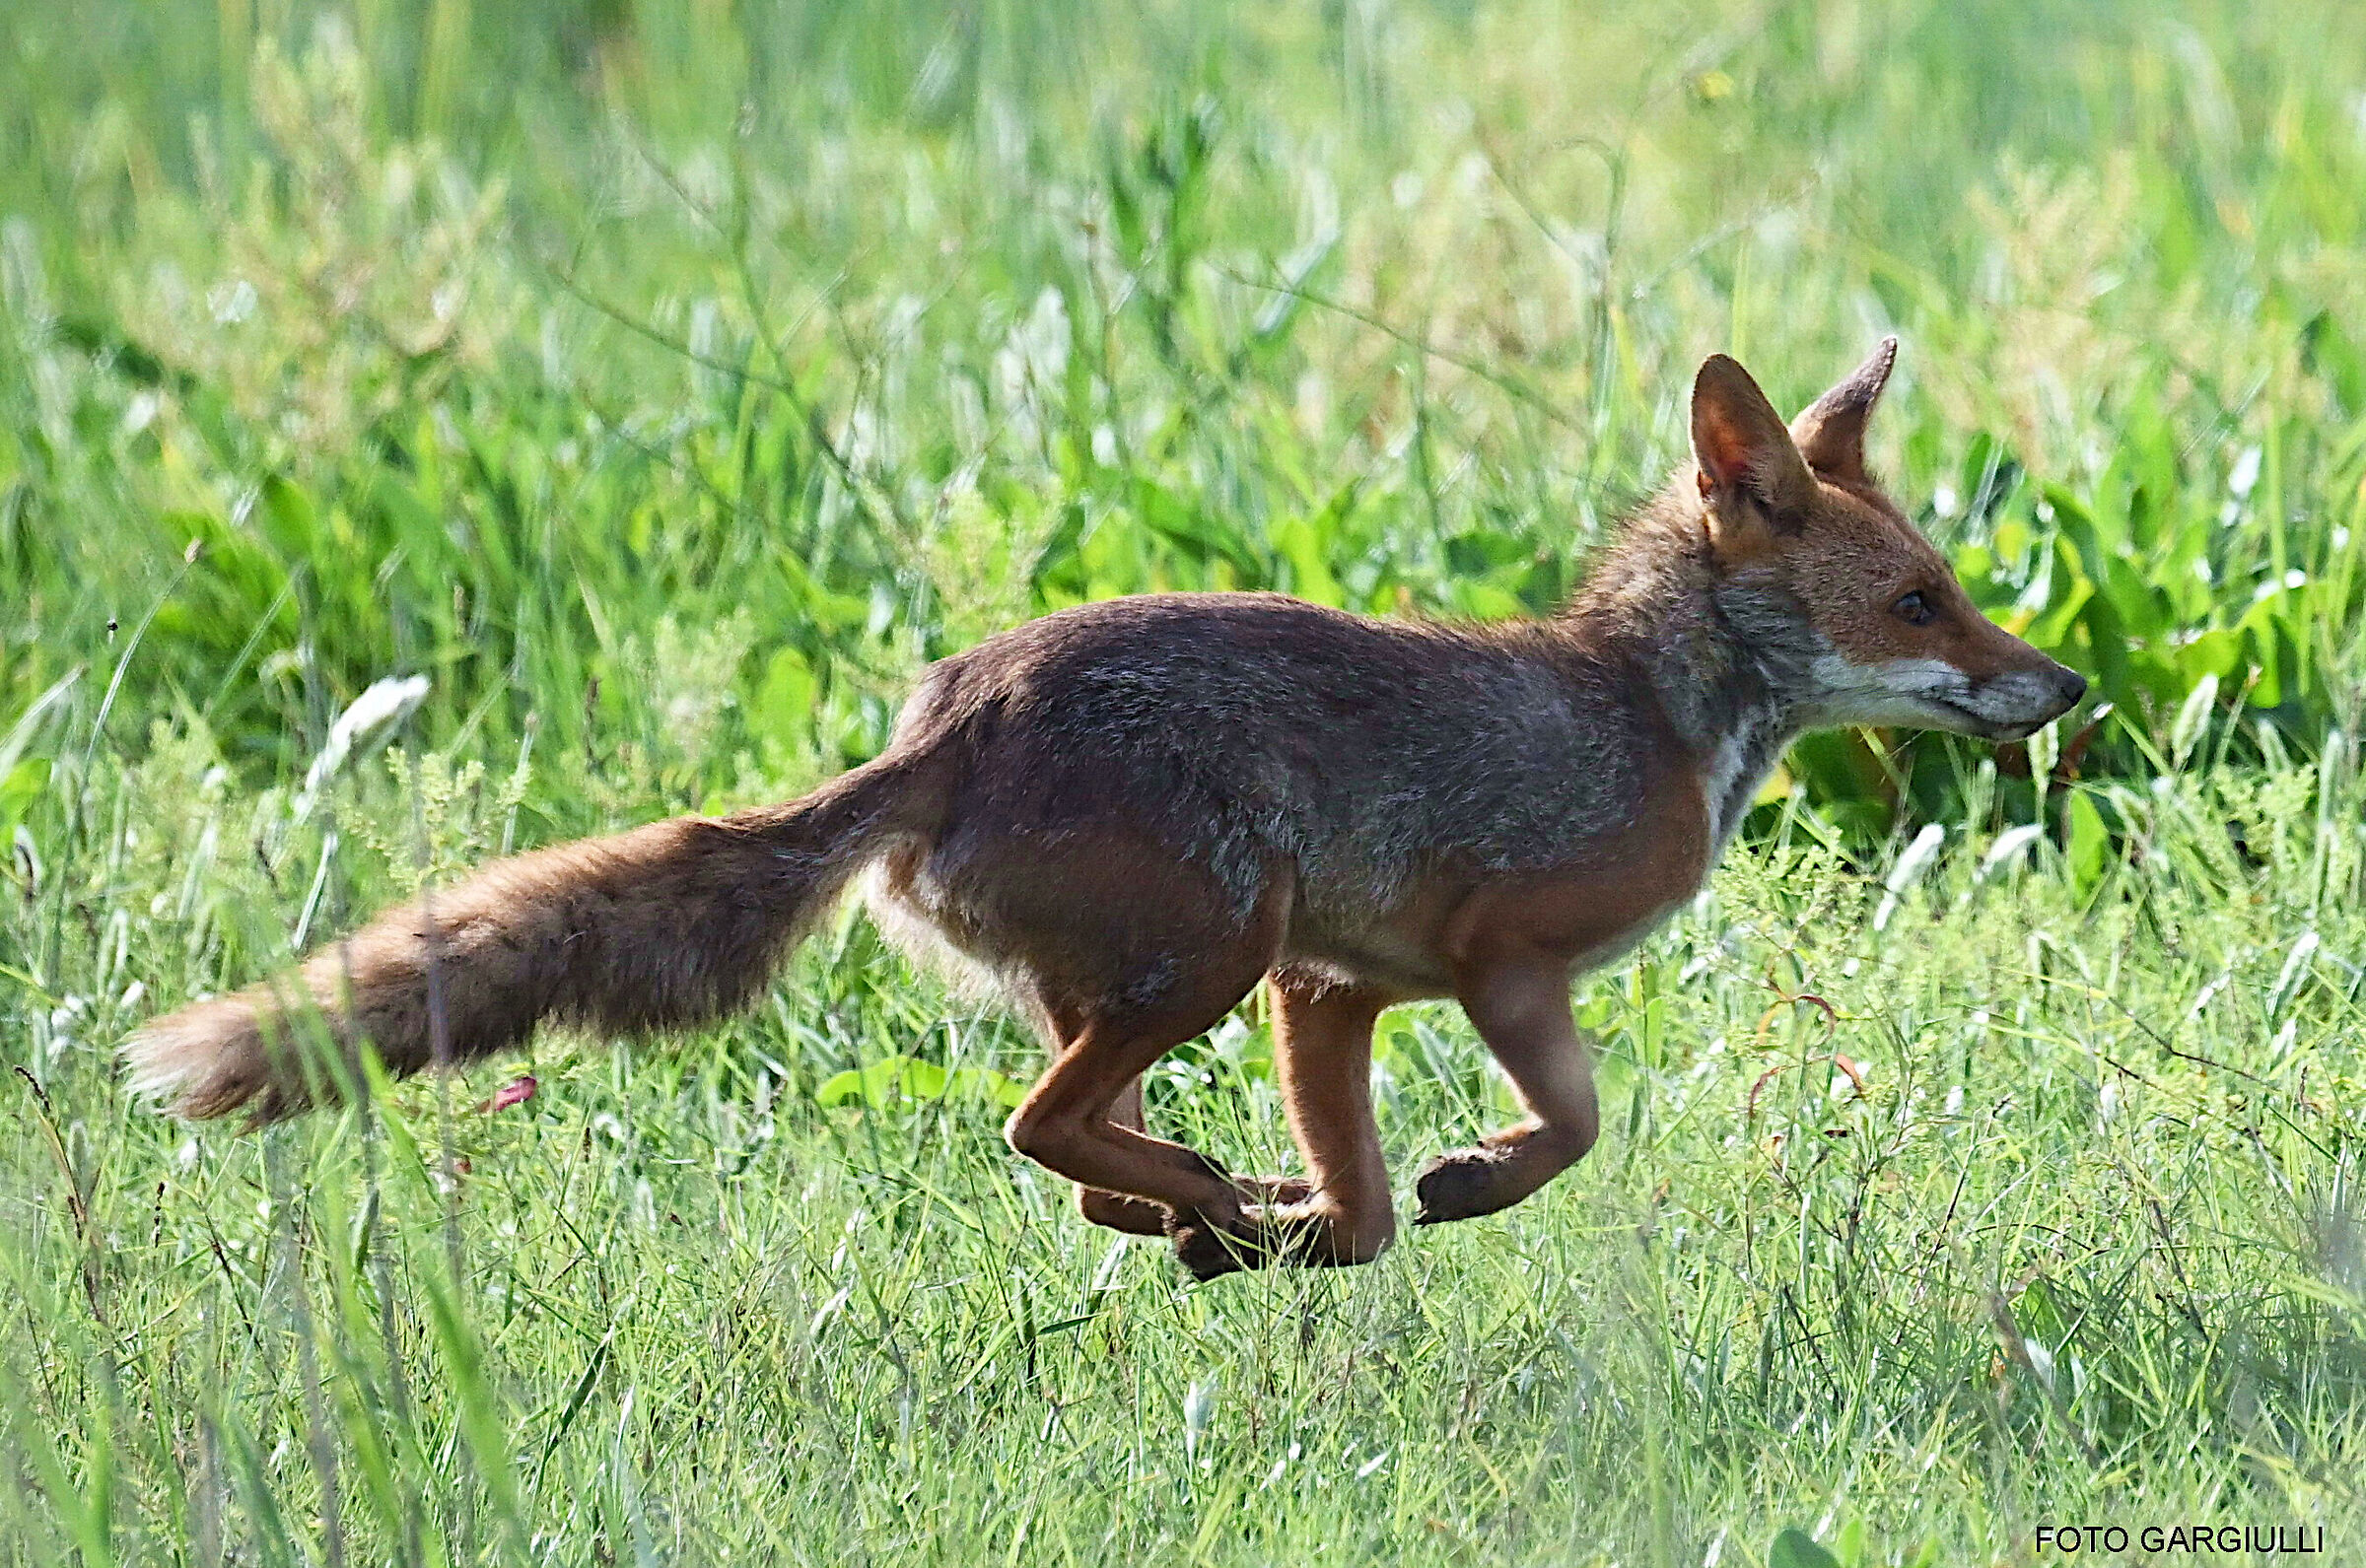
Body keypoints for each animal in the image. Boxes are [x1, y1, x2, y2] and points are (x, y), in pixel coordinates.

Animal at [124, 340, 2084, 1278]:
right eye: (1922, 603)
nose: (2065, 688)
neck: (1647, 719)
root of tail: (948, 714)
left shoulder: (1336, 987)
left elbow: (1377, 1199)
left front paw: (1333, 1222)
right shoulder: (1461, 963)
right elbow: (1556, 1136)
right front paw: (1449, 1184)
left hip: (1172, 976)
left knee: (1074, 1165)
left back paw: (1213, 1222)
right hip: (1204, 953)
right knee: (1039, 1130)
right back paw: (1217, 1211)